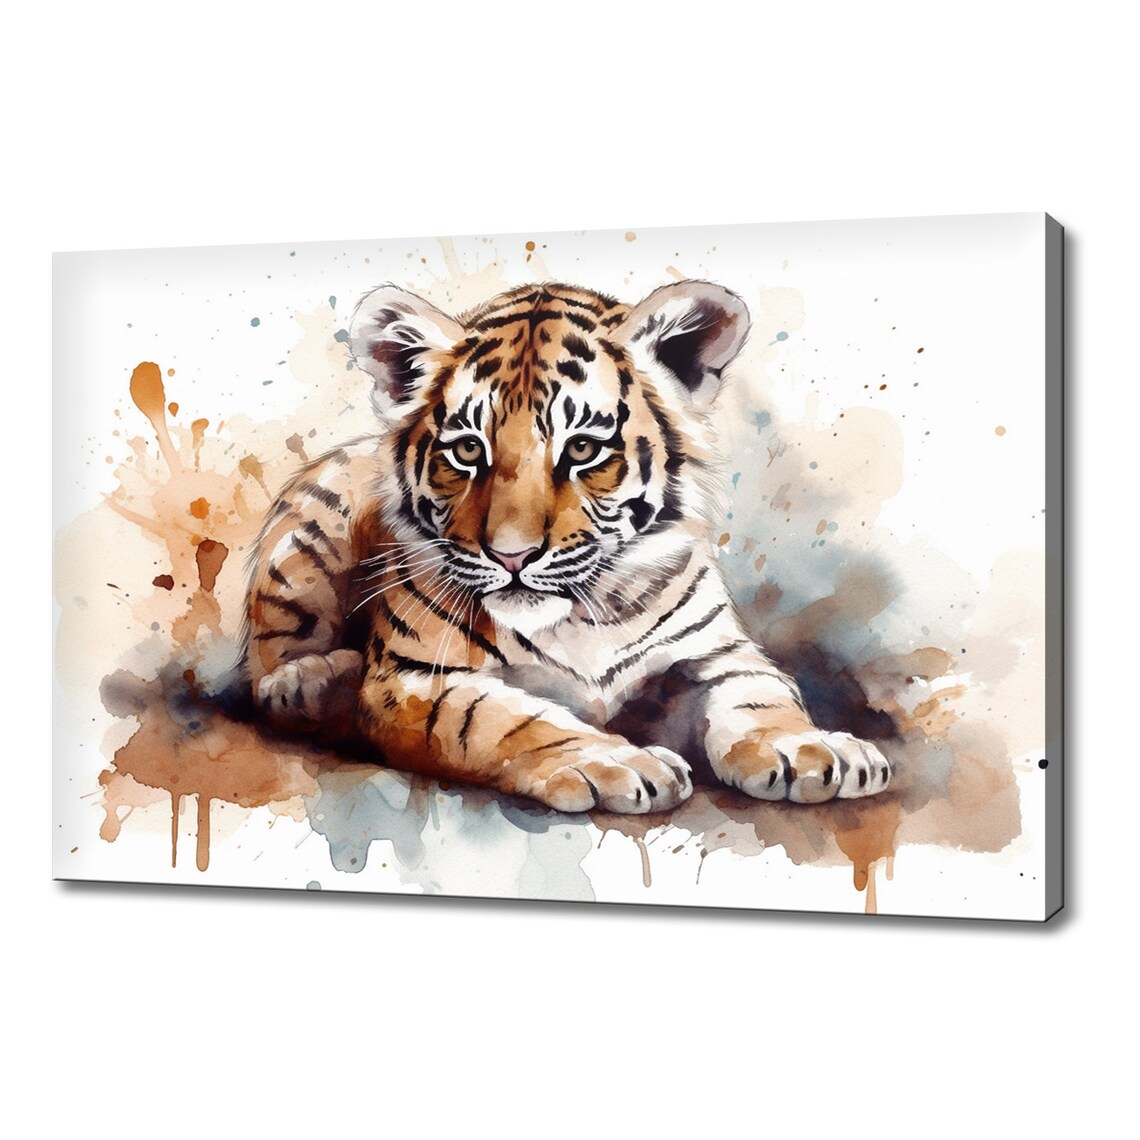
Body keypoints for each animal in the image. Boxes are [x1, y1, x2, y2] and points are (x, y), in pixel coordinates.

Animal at [244, 280, 892, 814]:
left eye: (582, 449)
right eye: (468, 449)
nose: (511, 555)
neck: (583, 615)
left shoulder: (716, 652)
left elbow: (761, 697)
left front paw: (812, 749)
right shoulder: (416, 678)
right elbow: (507, 720)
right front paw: (619, 761)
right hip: (310, 538)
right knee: (270, 660)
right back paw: (311, 683)